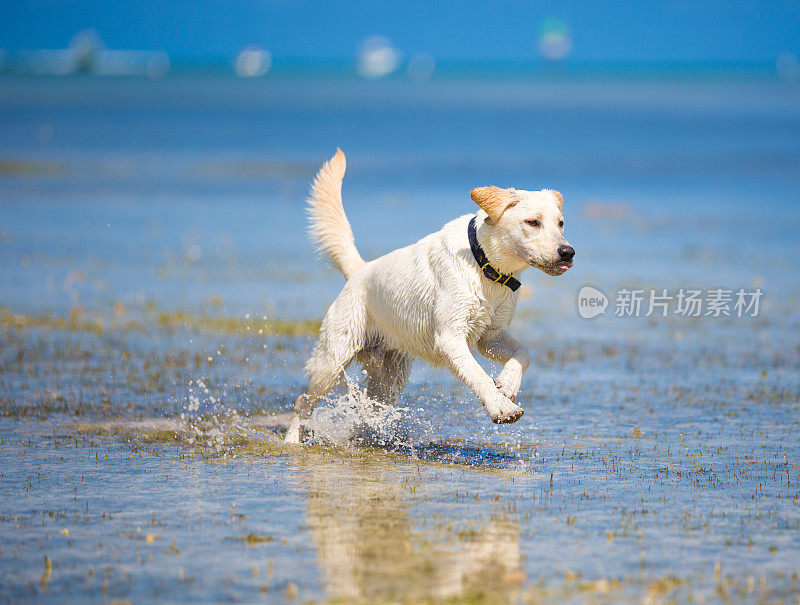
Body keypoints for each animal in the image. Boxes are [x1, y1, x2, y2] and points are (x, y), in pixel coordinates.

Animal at [284, 150, 572, 444]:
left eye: (561, 223)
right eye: (532, 222)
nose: (568, 252)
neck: (485, 266)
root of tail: (359, 270)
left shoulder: (491, 337)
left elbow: (524, 353)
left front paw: (508, 383)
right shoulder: (450, 338)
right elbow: (478, 375)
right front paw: (501, 407)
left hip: (390, 378)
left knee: (369, 408)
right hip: (333, 359)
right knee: (303, 401)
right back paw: (292, 441)